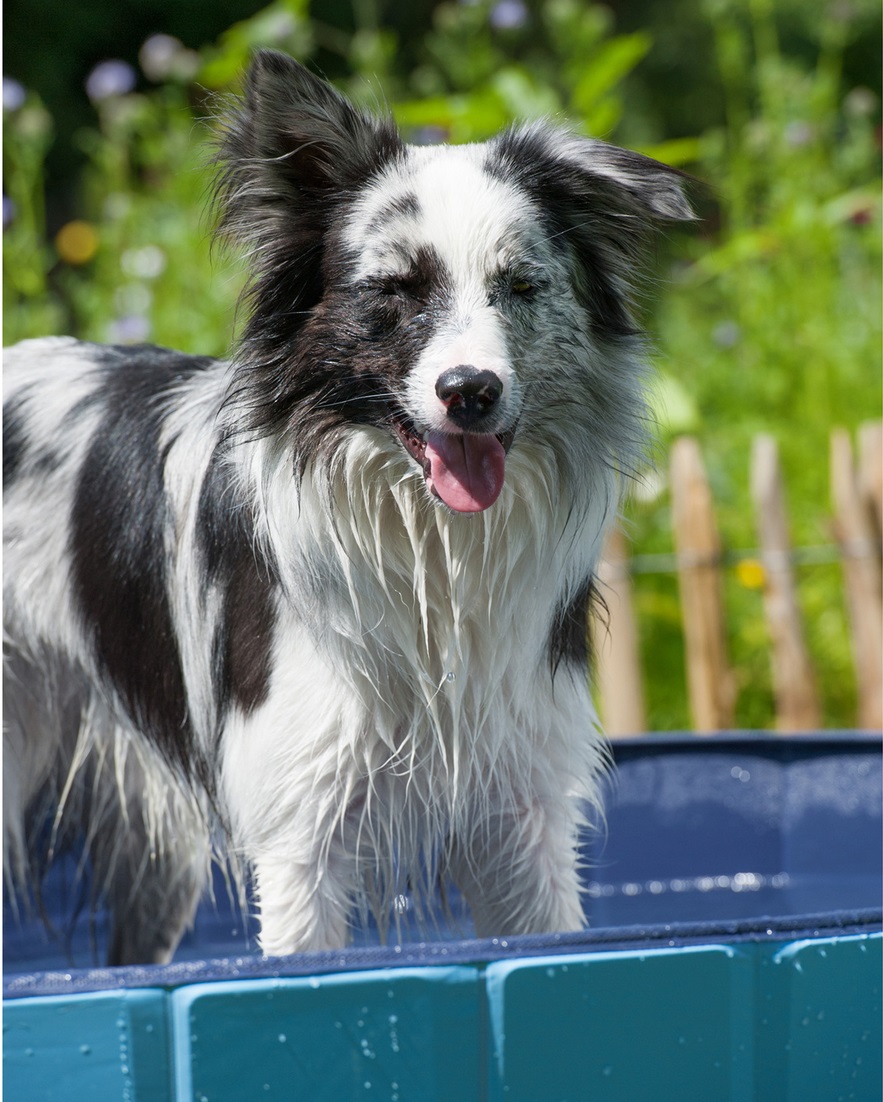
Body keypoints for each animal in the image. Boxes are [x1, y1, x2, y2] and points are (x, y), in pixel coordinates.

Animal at [1, 51, 687, 965]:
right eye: (395, 289)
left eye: (518, 286)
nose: (470, 392)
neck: (431, 550)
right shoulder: (301, 826)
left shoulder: (524, 809)